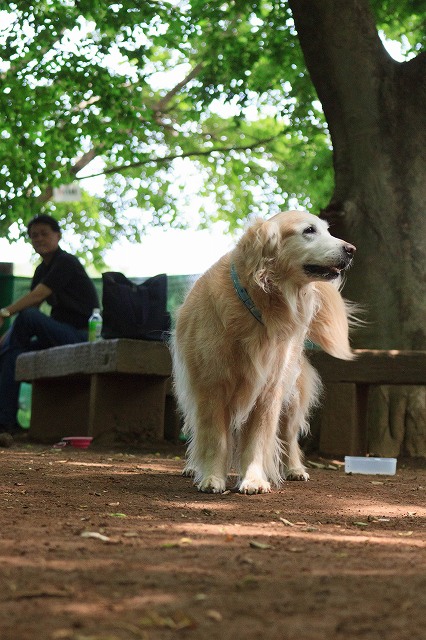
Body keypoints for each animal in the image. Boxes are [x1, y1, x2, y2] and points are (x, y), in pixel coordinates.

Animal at [171, 210, 356, 496]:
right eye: (309, 230)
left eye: (327, 230)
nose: (351, 250)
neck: (261, 299)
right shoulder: (210, 387)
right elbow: (215, 438)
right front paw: (212, 477)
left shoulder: (267, 389)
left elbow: (257, 440)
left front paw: (254, 479)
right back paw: (193, 466)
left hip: (292, 396)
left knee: (289, 438)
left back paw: (295, 469)